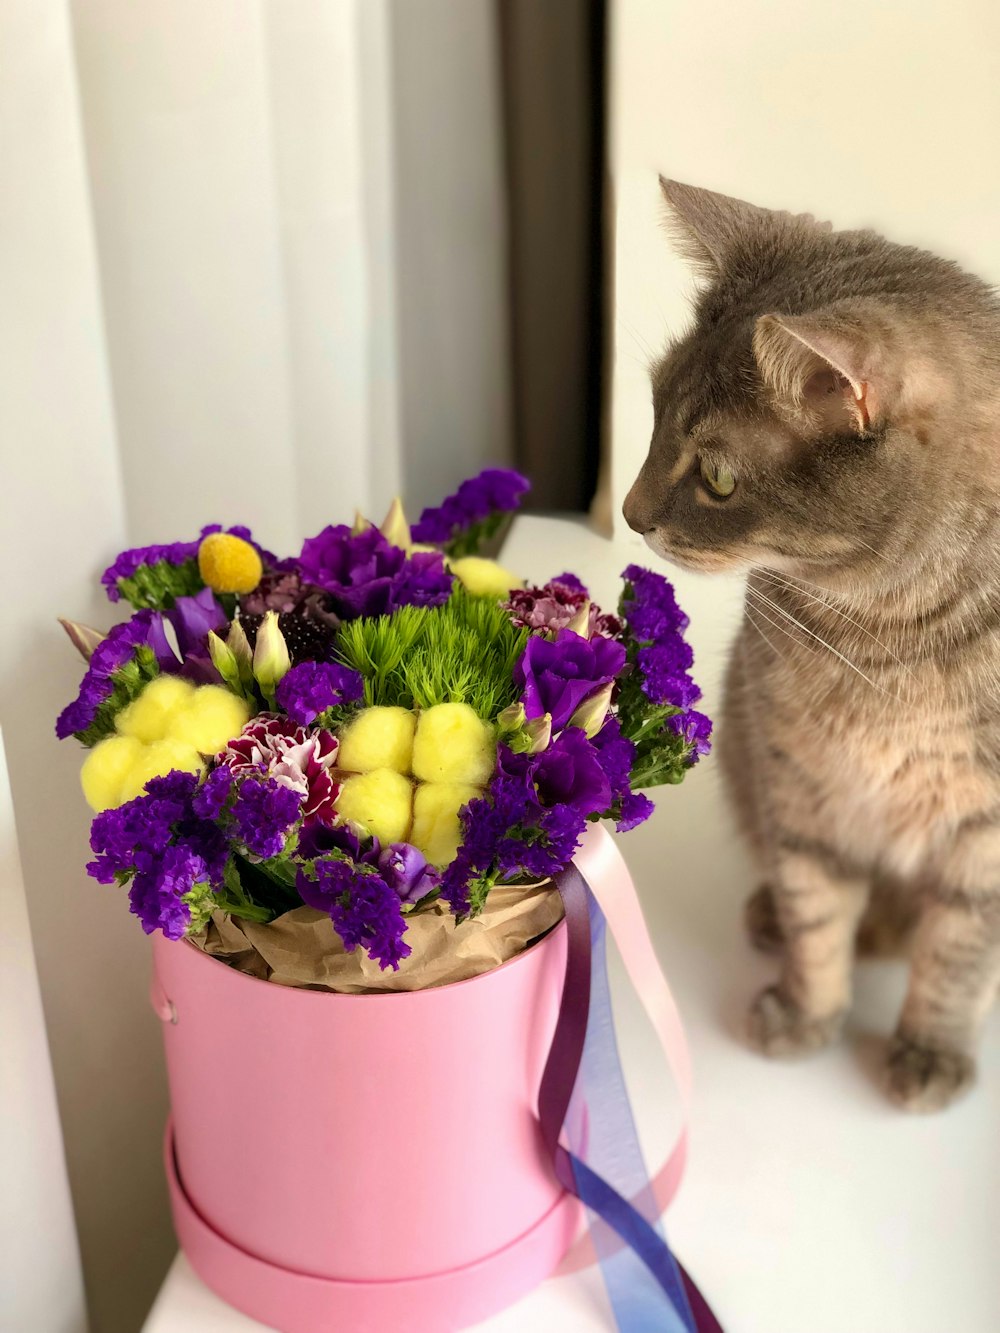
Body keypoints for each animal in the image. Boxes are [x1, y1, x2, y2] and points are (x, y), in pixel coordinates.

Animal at [626, 179, 1000, 1114]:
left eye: (718, 477)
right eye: (652, 413)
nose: (630, 513)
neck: (893, 642)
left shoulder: (987, 838)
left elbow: (958, 955)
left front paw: (930, 1051)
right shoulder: (799, 782)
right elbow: (818, 914)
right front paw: (805, 1013)